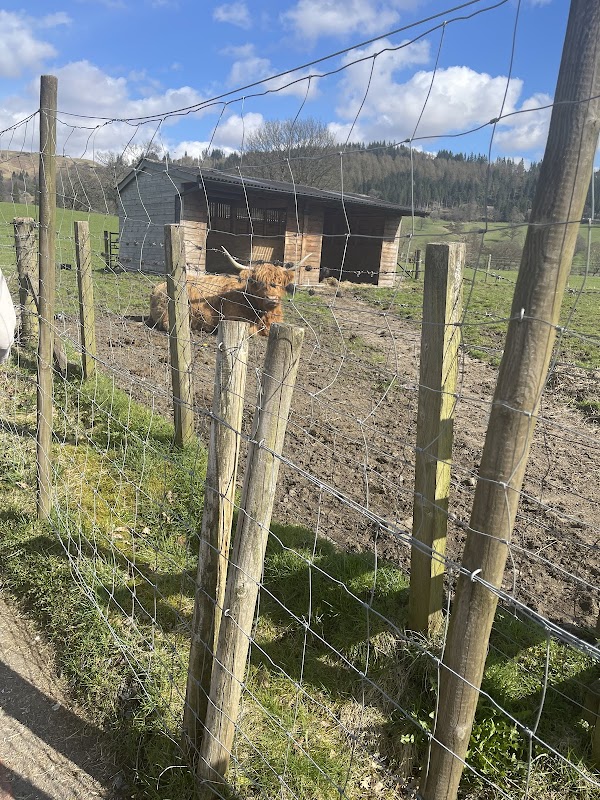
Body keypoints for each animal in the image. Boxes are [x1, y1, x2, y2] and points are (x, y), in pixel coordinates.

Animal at [149, 247, 312, 336]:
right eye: (258, 282)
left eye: (279, 282)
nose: (271, 299)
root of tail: (158, 287)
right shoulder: (234, 319)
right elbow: (252, 331)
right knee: (168, 324)